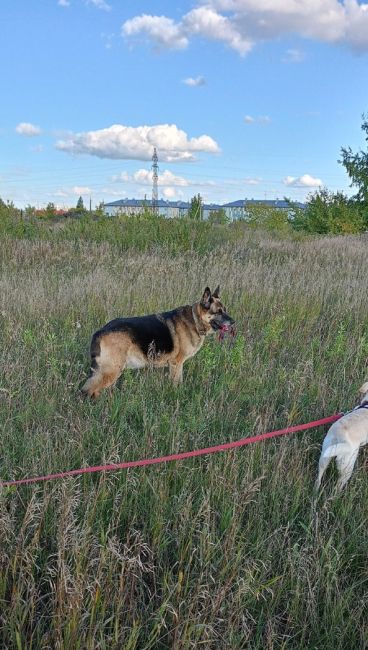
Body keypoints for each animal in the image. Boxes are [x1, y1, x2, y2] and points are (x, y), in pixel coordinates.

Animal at [81, 286, 234, 398]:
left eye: (225, 310)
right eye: (218, 312)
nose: (233, 322)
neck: (195, 320)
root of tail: (100, 331)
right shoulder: (176, 364)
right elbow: (177, 383)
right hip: (111, 370)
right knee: (89, 390)